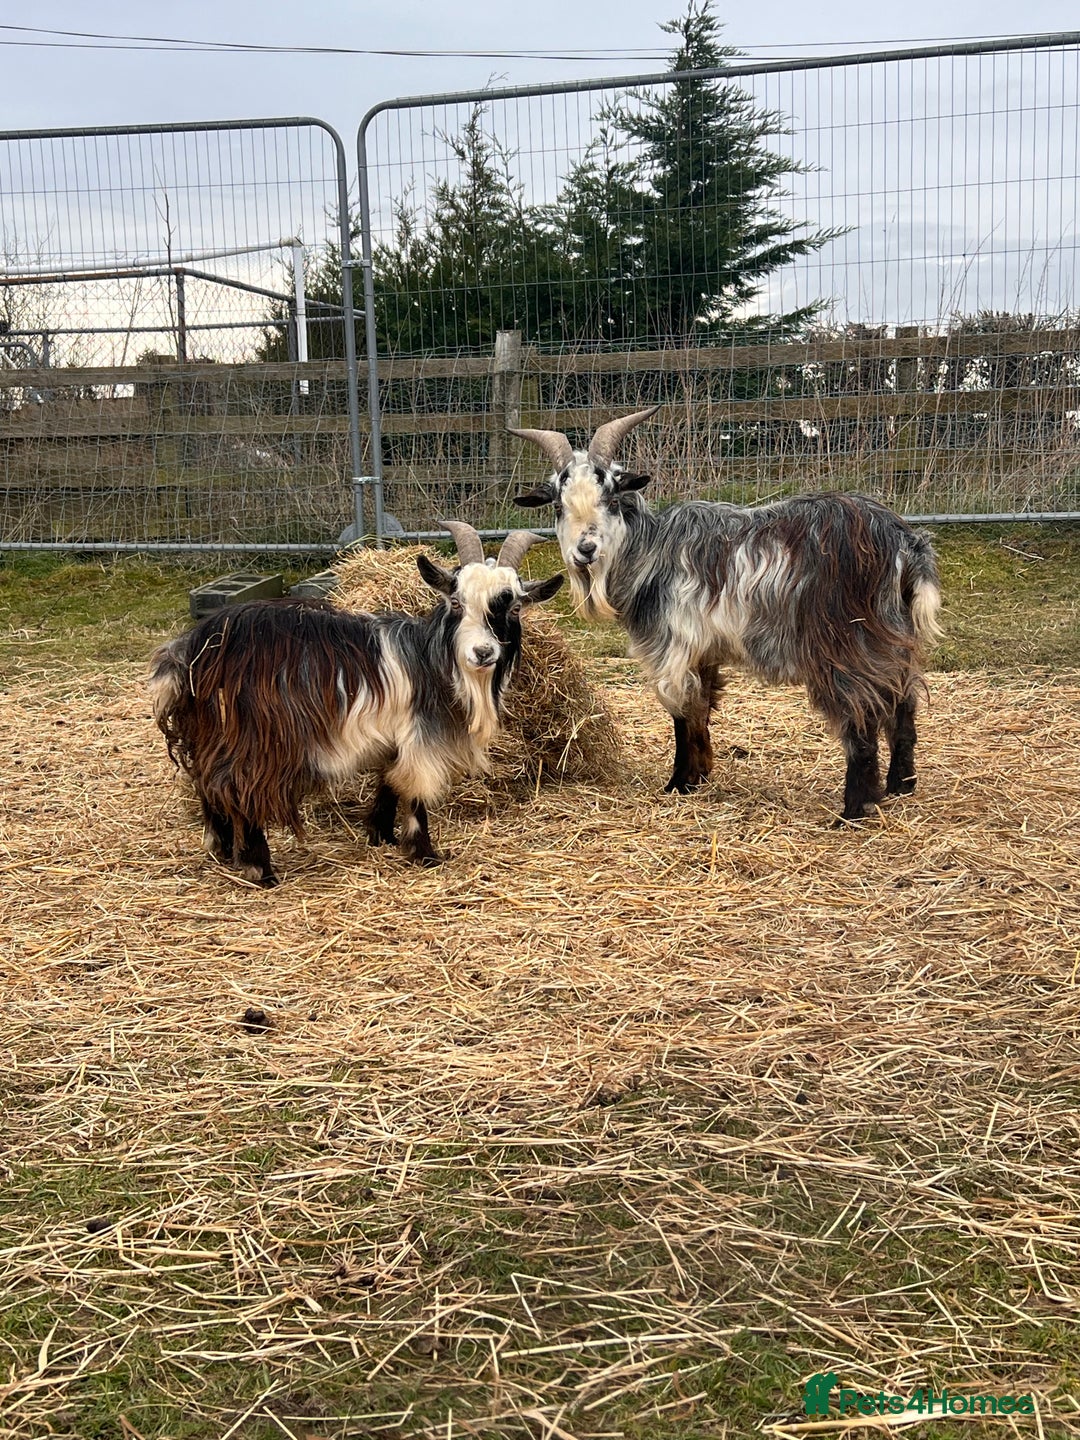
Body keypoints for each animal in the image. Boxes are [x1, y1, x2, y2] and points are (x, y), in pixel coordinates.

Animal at [149, 523, 563, 885]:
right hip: (254, 738)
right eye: (457, 603)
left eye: (514, 608)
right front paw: (424, 853)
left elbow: (389, 783)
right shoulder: (419, 739)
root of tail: (194, 649)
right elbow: (415, 792)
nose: (482, 652)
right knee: (238, 787)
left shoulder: (392, 738)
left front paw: (381, 835)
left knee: (207, 783)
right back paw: (259, 869)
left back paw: (221, 850)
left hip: (209, 731)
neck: (431, 659)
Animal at [512, 408, 942, 822]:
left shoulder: (674, 648)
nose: (585, 550)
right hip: (891, 636)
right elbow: (702, 709)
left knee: (861, 715)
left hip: (844, 643)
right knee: (903, 702)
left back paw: (853, 811)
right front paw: (699, 776)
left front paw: (677, 783)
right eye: (558, 506)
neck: (649, 552)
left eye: (613, 500)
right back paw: (900, 786)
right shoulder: (704, 651)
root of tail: (904, 542)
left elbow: (682, 713)